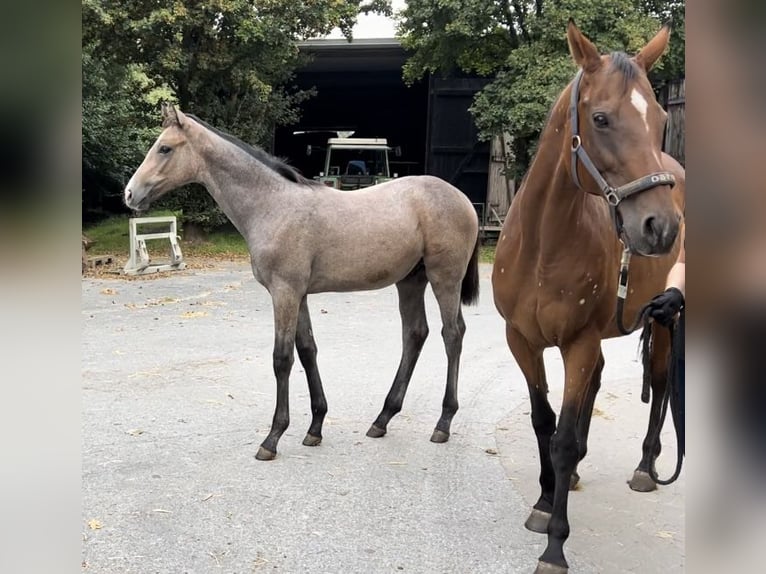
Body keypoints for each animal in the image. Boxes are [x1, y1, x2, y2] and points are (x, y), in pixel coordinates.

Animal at [124, 104, 480, 464]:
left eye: (165, 148)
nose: (129, 193)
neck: (273, 205)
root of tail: (463, 198)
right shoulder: (300, 294)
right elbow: (308, 350)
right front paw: (315, 427)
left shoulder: (285, 292)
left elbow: (282, 358)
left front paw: (273, 437)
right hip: (410, 281)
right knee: (415, 334)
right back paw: (382, 419)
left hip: (444, 278)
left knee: (452, 334)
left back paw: (443, 422)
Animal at [496, 20, 688, 572]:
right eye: (600, 118)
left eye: (660, 118)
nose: (662, 228)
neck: (543, 242)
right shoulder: (522, 341)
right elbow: (545, 423)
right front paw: (544, 501)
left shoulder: (578, 343)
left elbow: (561, 438)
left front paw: (555, 545)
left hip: (664, 321)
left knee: (662, 385)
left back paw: (645, 467)